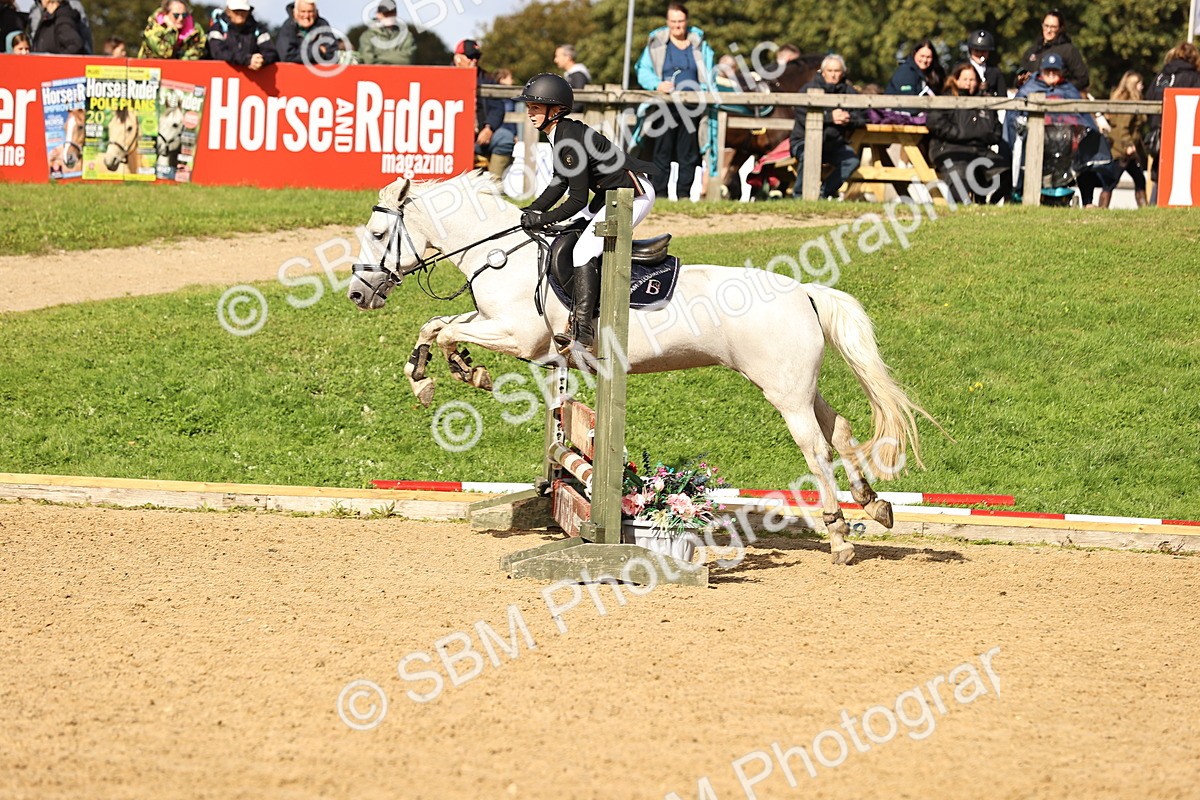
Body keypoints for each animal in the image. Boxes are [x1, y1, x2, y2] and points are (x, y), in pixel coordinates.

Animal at [347, 173, 935, 565]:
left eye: (376, 235)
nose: (357, 294)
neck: (500, 256)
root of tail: (805, 291)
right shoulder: (499, 326)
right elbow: (435, 325)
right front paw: (432, 376)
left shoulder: (519, 336)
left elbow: (448, 330)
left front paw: (462, 374)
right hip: (796, 384)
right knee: (840, 428)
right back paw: (875, 506)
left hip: (783, 391)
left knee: (815, 448)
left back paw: (839, 537)